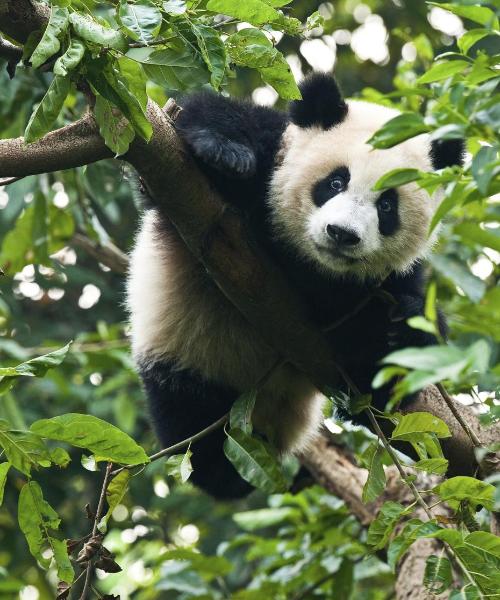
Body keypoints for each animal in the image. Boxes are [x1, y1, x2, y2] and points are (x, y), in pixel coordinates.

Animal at [127, 74, 462, 496]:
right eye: (335, 182)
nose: (342, 234)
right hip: (185, 356)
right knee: (195, 427)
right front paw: (224, 151)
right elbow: (200, 121)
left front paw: (400, 327)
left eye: (387, 206)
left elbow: (396, 342)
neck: (309, 263)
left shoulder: (385, 280)